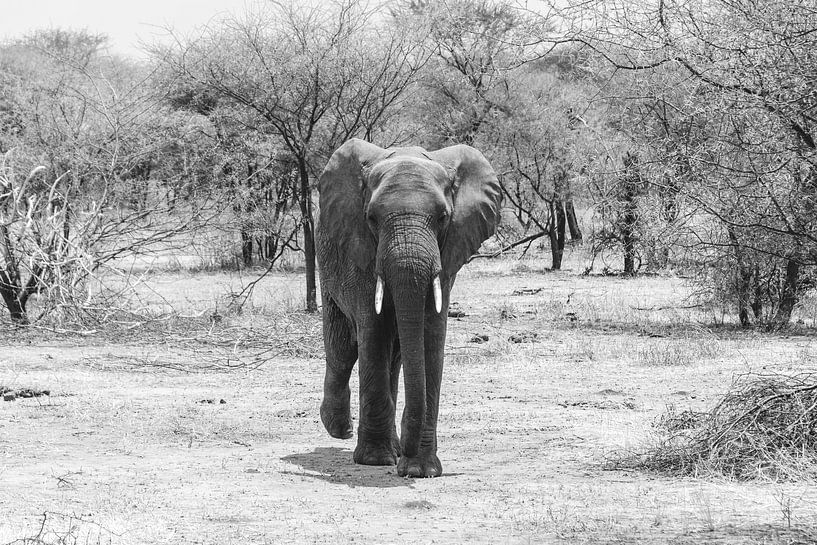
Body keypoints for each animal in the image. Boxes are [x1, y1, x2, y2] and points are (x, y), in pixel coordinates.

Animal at [316, 137, 500, 476]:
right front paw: (376, 461)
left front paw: (420, 469)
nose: (405, 459)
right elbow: (373, 333)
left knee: (394, 355)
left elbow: (430, 335)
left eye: (443, 217)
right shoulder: (362, 253)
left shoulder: (447, 255)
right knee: (344, 349)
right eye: (372, 218)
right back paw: (339, 429)